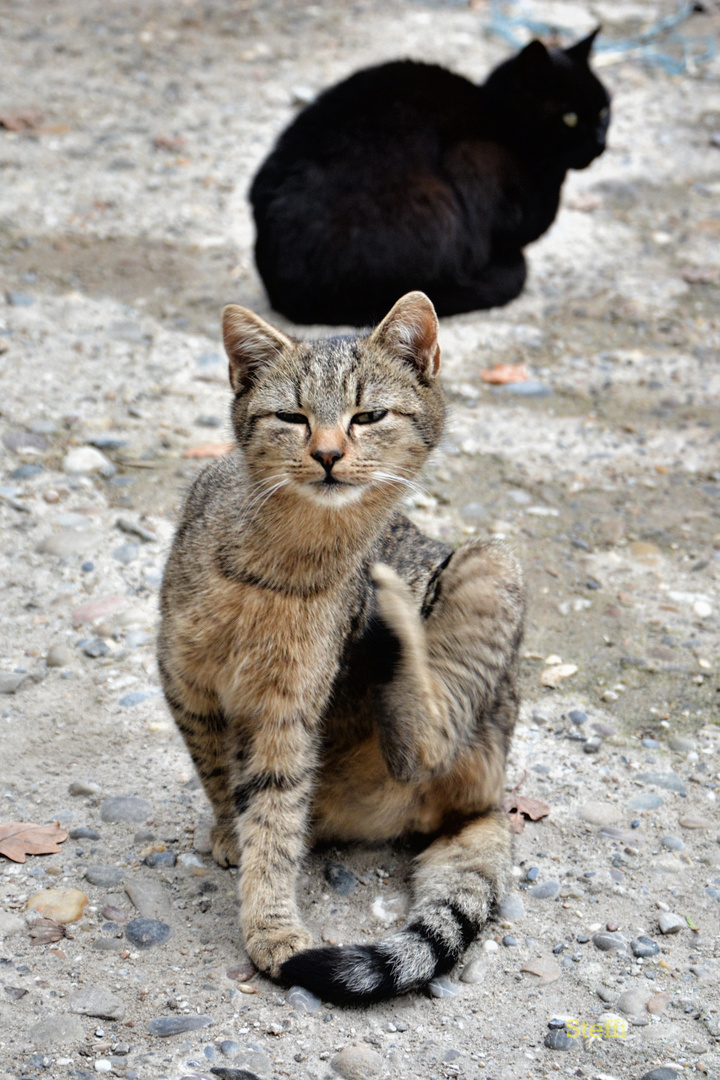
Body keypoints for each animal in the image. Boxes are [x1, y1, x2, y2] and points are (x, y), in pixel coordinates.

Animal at [160, 289, 526, 1002]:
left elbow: (274, 817)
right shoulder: (185, 681)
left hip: (495, 565)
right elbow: (219, 774)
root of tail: (488, 802)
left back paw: (395, 609)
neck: (286, 563)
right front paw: (229, 833)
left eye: (369, 415)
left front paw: (271, 925)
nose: (328, 453)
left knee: (424, 744)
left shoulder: (287, 712)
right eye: (292, 417)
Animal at [250, 29, 613, 324]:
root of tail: (280, 289)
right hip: (436, 206)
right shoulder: (473, 160)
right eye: (569, 117)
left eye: (604, 111)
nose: (600, 143)